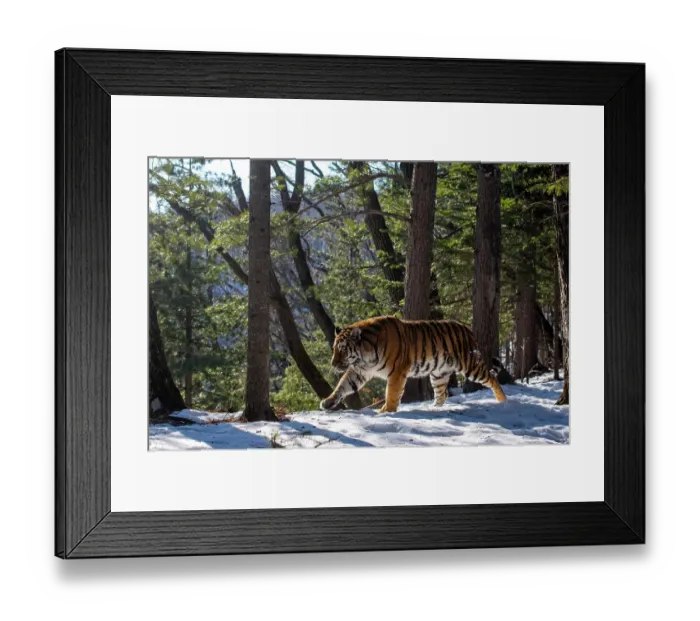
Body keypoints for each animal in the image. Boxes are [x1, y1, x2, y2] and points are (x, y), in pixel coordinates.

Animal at [321, 315, 507, 414]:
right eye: (334, 348)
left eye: (342, 349)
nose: (333, 363)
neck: (364, 356)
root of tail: (467, 329)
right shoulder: (360, 371)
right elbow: (343, 386)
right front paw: (327, 402)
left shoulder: (396, 372)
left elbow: (392, 394)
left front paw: (386, 412)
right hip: (438, 374)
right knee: (442, 394)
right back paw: (434, 409)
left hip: (470, 365)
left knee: (492, 379)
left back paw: (503, 401)